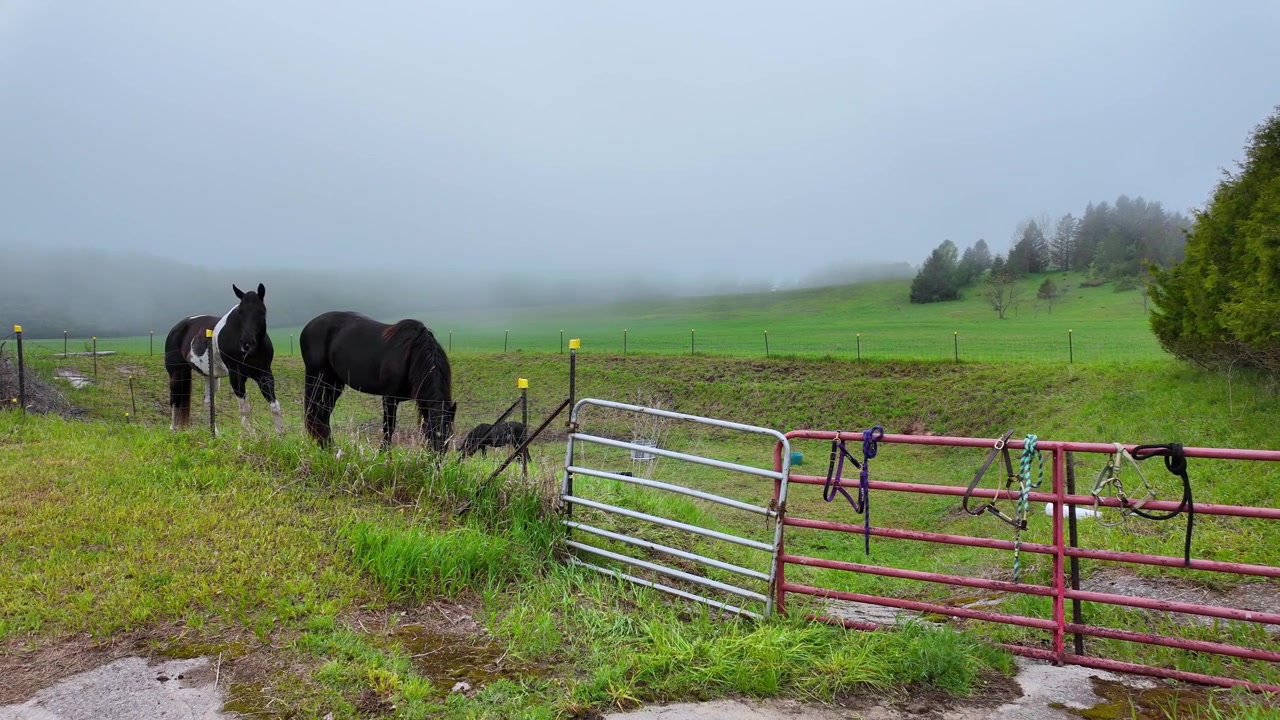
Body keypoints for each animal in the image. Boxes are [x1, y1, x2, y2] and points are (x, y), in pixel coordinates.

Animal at [164, 283, 282, 434]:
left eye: (261, 312)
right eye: (240, 313)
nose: (247, 343)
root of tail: (175, 329)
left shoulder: (264, 374)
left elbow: (275, 405)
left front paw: (280, 434)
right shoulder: (236, 375)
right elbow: (244, 408)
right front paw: (248, 436)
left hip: (210, 376)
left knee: (208, 402)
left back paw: (215, 433)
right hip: (177, 373)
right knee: (174, 399)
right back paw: (173, 430)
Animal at [299, 310, 456, 452]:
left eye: (448, 435)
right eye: (430, 434)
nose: (436, 460)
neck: (412, 354)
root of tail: (308, 326)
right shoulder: (389, 398)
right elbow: (389, 427)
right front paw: (384, 454)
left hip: (334, 383)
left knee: (323, 414)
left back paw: (328, 446)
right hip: (316, 377)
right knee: (314, 412)